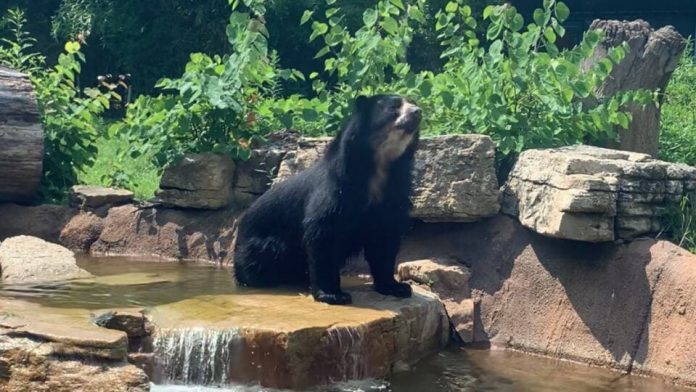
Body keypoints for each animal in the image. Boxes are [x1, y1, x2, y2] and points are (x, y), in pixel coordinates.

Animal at [234, 95, 422, 306]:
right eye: (394, 106)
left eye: (413, 103)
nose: (417, 112)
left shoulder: (392, 196)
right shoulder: (335, 192)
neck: (380, 167)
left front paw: (397, 287)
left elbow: (385, 240)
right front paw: (333, 295)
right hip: (262, 246)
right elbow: (324, 235)